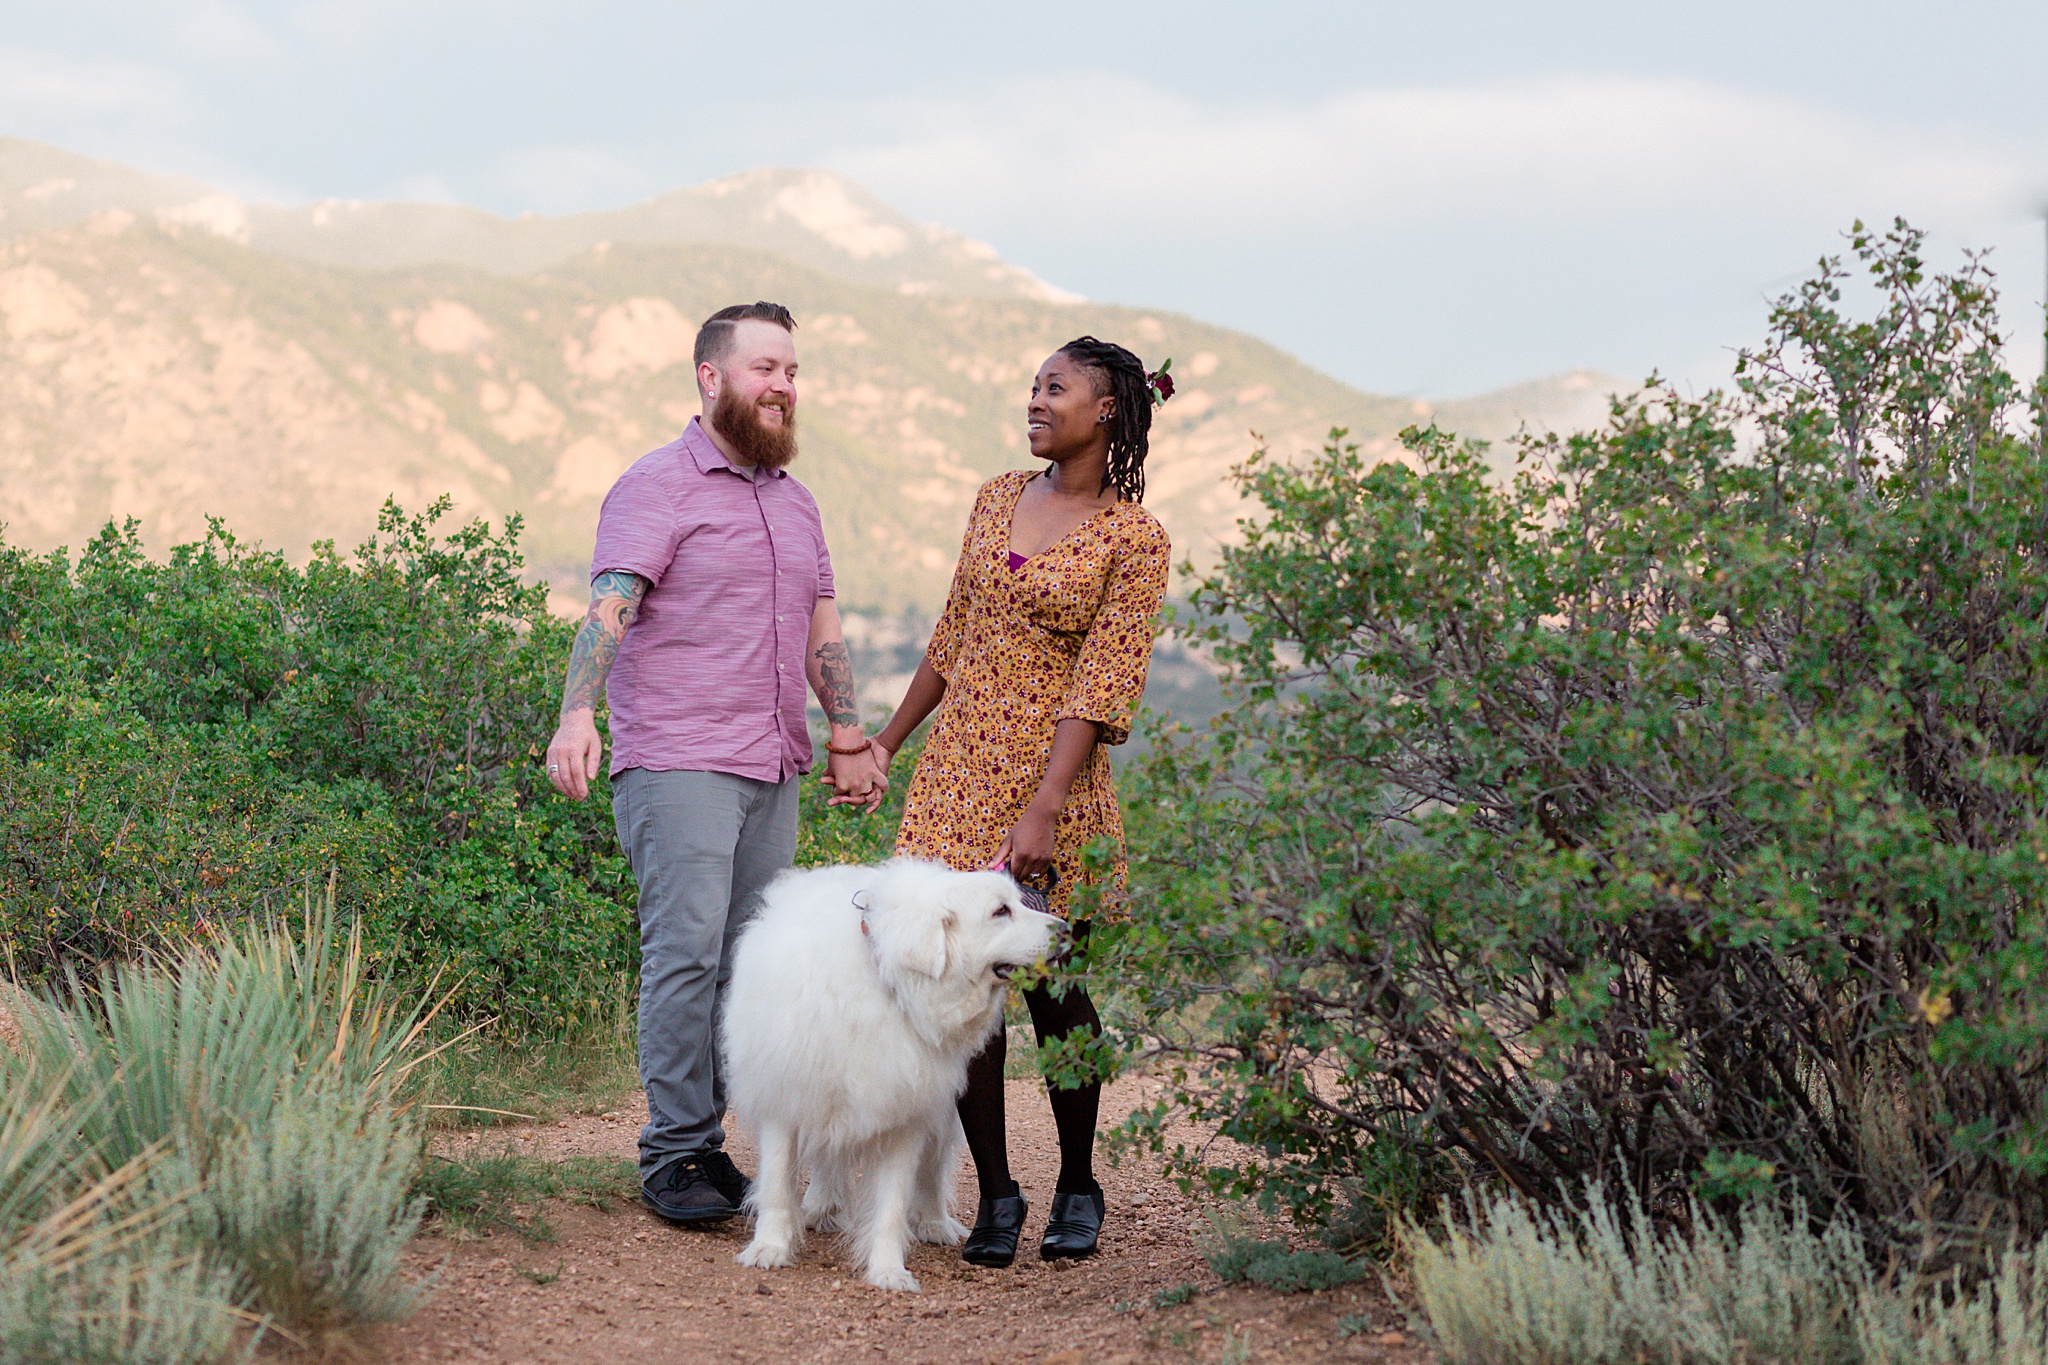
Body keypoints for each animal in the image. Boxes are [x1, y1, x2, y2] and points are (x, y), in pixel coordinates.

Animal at [720, 859, 1064, 1301]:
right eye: (1000, 911)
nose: (1066, 929)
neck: (888, 980)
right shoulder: (788, 1095)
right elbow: (778, 1184)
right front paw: (769, 1249)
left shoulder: (905, 1115)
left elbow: (892, 1205)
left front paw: (888, 1271)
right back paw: (820, 1207)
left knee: (932, 1169)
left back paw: (934, 1223)